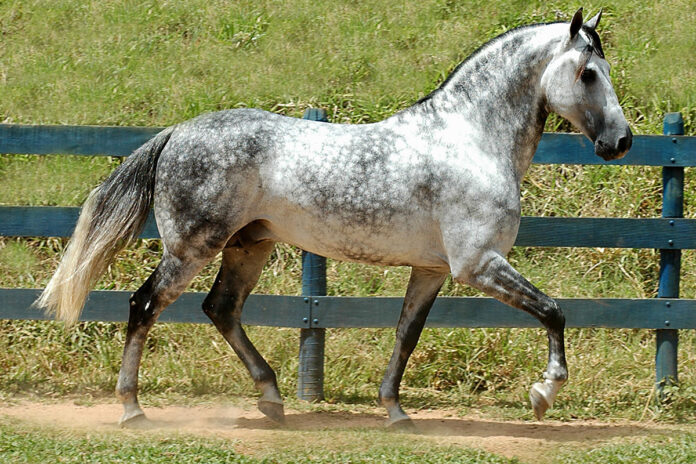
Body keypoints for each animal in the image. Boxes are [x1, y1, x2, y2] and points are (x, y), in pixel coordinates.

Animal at [40, 8, 632, 428]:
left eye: (604, 69)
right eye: (587, 73)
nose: (620, 142)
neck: (470, 140)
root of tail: (178, 131)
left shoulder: (433, 270)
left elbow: (406, 335)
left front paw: (395, 412)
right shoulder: (478, 264)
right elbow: (553, 312)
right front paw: (543, 393)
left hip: (248, 246)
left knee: (221, 309)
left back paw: (272, 399)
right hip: (191, 247)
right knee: (144, 305)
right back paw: (132, 409)